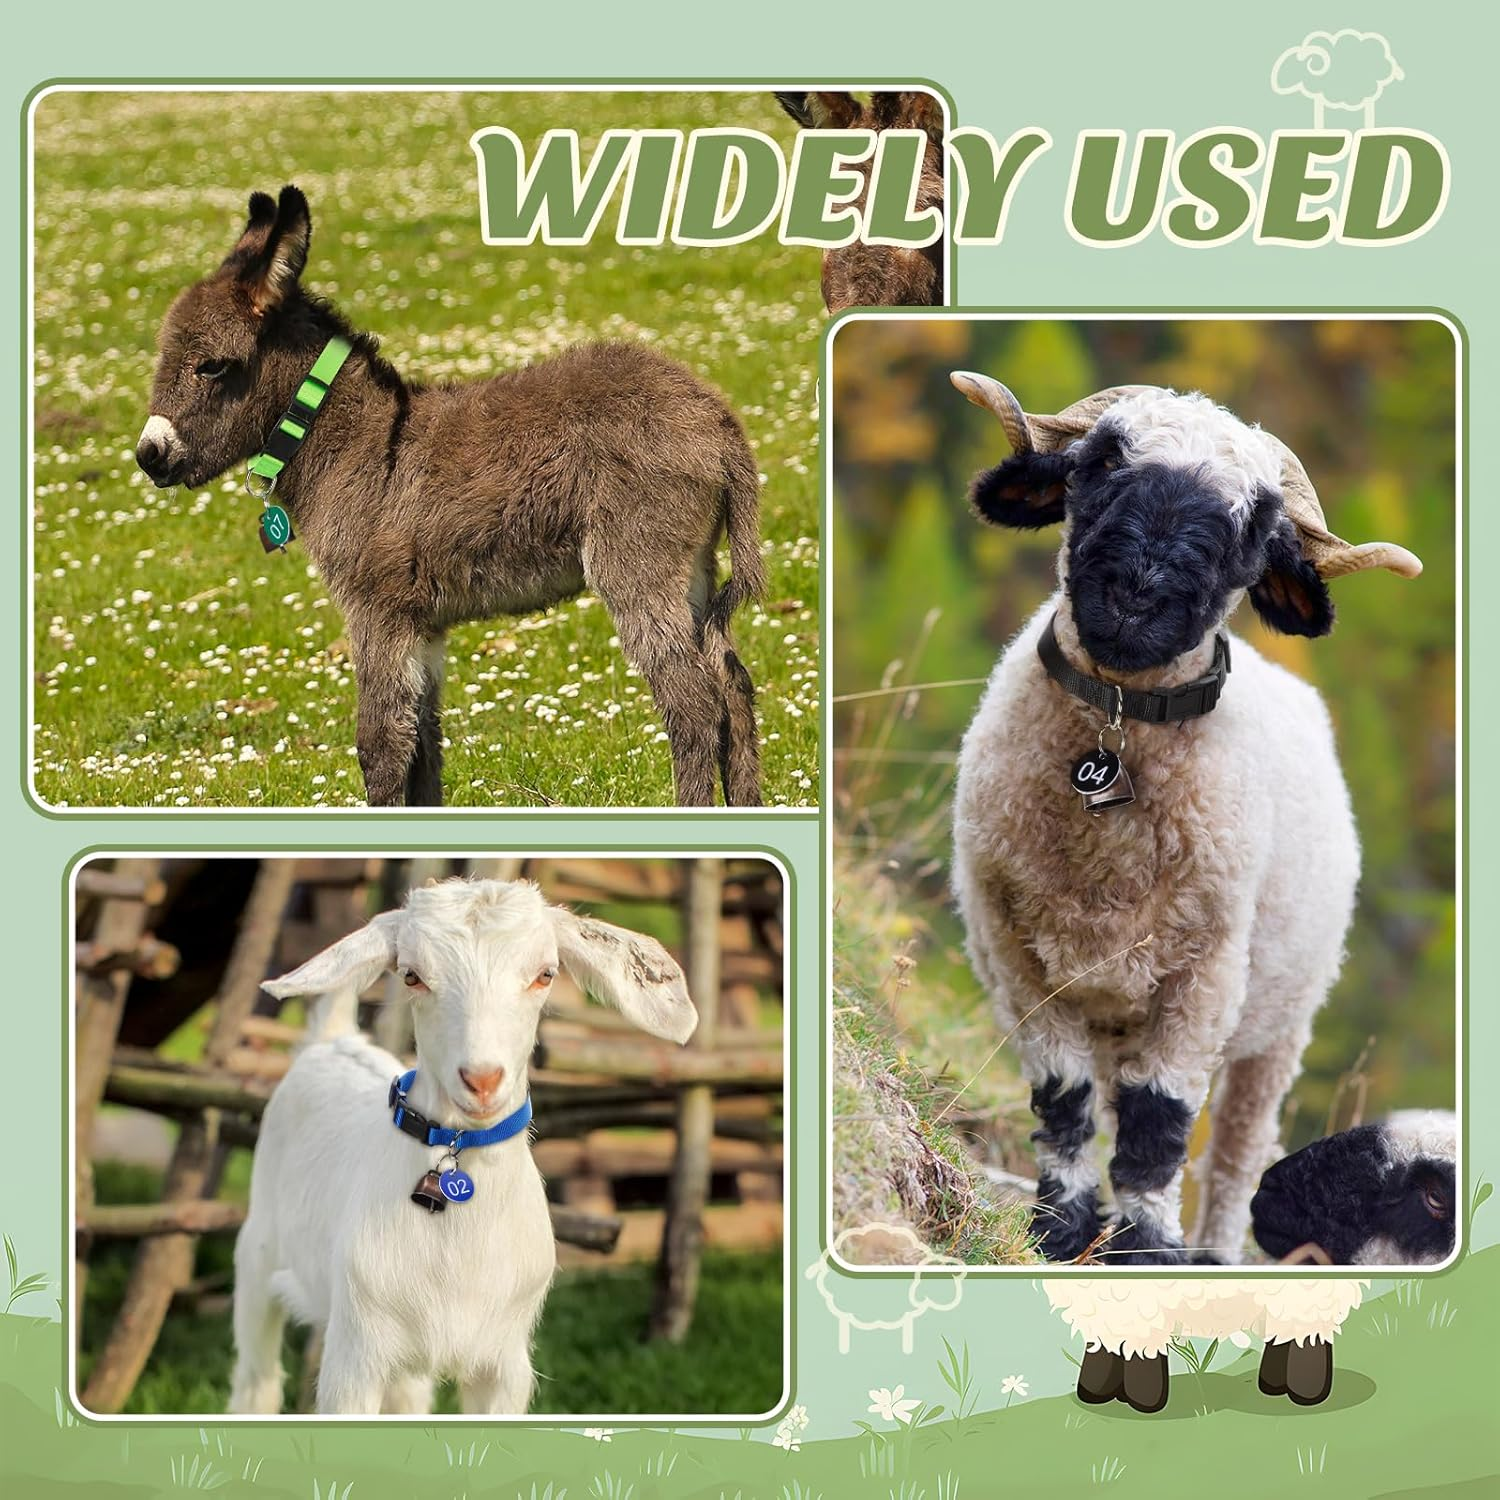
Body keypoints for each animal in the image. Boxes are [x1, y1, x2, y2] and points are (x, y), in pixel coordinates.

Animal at [134, 185, 764, 808]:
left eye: (212, 366)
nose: (149, 455)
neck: (359, 442)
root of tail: (718, 423)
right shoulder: (423, 625)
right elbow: (423, 745)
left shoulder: (376, 612)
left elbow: (380, 745)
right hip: (694, 568)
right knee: (732, 686)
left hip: (636, 564)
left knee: (692, 703)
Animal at [228, 877, 697, 1416]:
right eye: (411, 976)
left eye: (545, 974)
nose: (482, 1079)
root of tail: (333, 1042)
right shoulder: (354, 1357)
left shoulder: (504, 1365)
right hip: (257, 1257)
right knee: (257, 1378)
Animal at [947, 374, 1422, 1266]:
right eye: (1101, 461)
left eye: (1257, 526)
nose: (1136, 596)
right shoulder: (1015, 952)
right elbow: (1062, 1097)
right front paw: (1062, 1230)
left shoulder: (1205, 976)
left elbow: (1158, 1122)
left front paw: (1146, 1248)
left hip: (1279, 1028)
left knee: (1235, 1155)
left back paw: (1214, 1246)